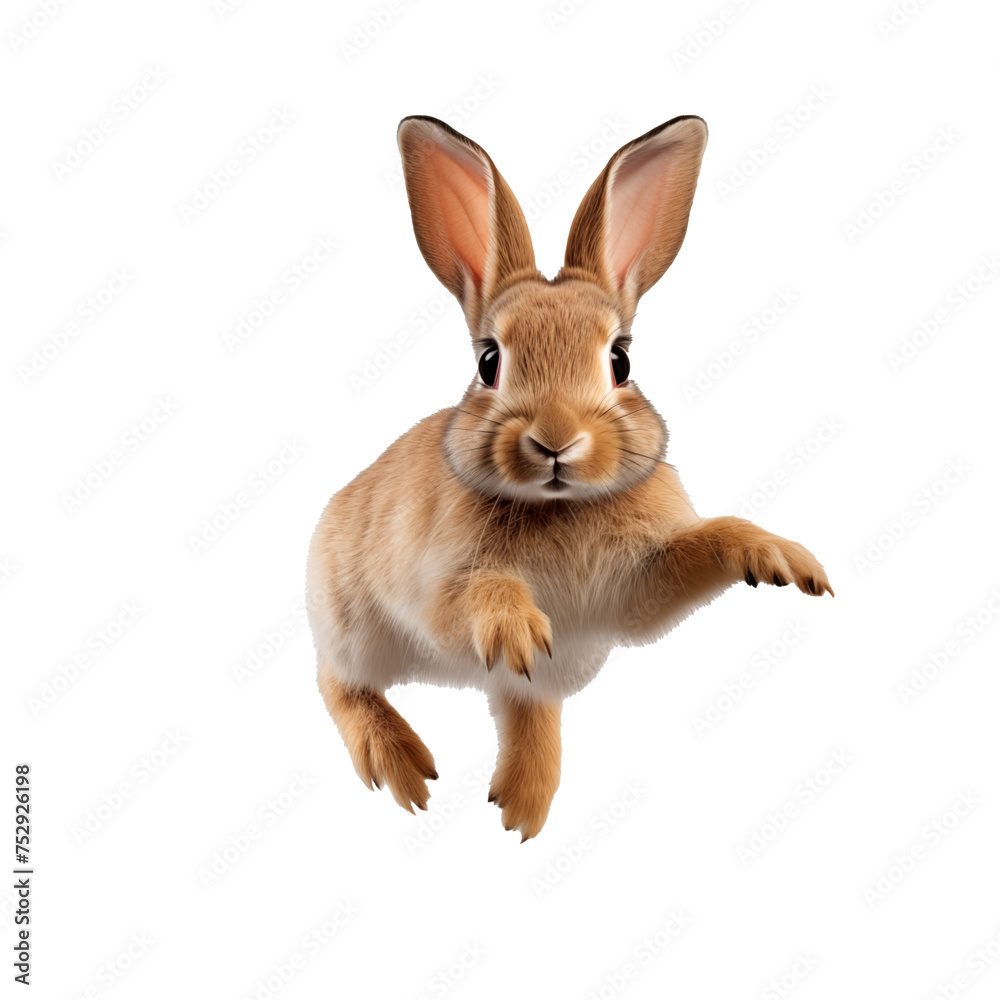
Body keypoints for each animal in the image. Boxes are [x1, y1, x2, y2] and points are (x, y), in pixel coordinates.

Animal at [306, 113, 833, 841]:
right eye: (490, 362)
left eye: (621, 361)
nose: (556, 441)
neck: (560, 505)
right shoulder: (437, 590)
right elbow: (478, 594)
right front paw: (518, 627)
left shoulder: (633, 586)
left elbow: (699, 549)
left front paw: (783, 559)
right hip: (352, 623)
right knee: (339, 682)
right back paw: (401, 766)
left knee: (526, 710)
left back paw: (523, 803)